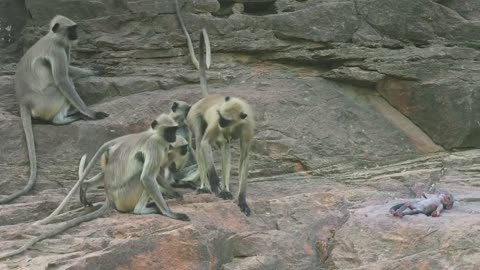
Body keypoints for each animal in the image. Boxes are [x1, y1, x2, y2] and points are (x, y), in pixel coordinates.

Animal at [0, 14, 108, 205]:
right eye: (72, 29)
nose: (76, 34)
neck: (53, 37)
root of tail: (23, 101)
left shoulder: (65, 46)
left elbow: (70, 69)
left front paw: (93, 70)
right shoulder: (57, 50)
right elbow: (63, 79)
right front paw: (90, 113)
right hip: (47, 100)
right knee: (63, 84)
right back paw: (65, 118)